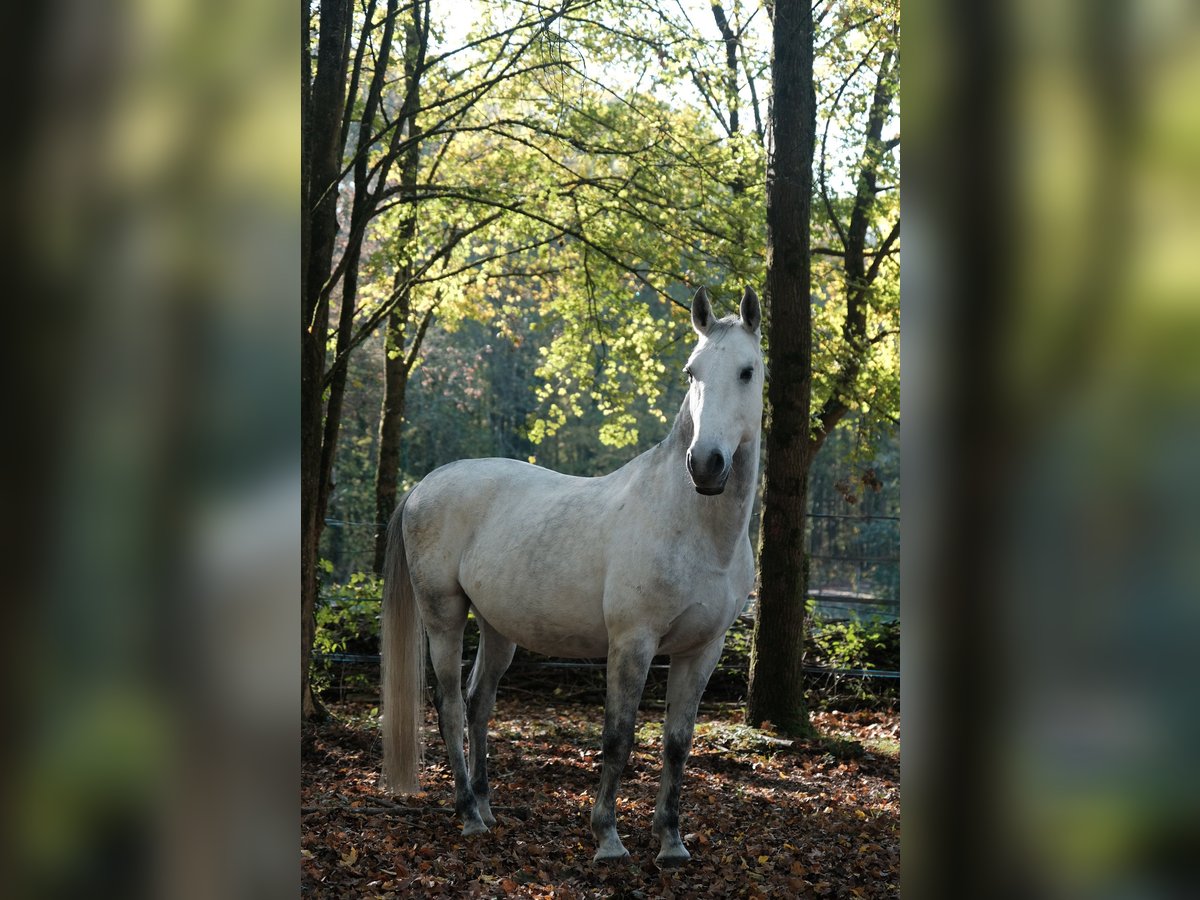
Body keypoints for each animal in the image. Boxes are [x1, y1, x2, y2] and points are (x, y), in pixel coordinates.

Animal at [379, 286, 763, 868]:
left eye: (747, 371)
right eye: (692, 372)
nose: (705, 464)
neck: (689, 526)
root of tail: (426, 483)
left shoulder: (702, 650)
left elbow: (677, 744)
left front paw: (671, 842)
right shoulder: (632, 644)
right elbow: (618, 738)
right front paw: (607, 838)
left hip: (497, 628)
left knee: (478, 702)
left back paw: (487, 807)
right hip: (443, 617)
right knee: (448, 704)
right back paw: (469, 815)